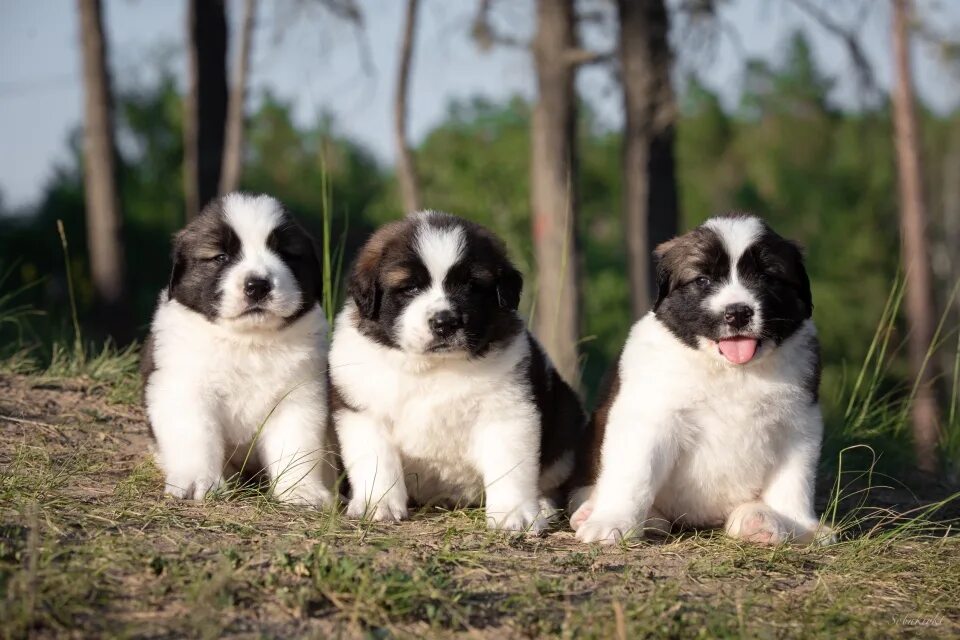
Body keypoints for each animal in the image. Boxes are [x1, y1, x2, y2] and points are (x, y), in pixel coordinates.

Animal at [141, 192, 336, 508]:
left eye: (285, 254)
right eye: (221, 257)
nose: (257, 285)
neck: (248, 342)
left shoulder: (299, 396)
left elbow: (297, 445)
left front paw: (301, 491)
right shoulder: (184, 387)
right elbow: (196, 436)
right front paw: (197, 482)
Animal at [330, 212, 584, 532]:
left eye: (472, 286)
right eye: (410, 288)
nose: (445, 322)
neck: (434, 367)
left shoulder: (509, 412)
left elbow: (510, 465)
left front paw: (514, 513)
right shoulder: (364, 411)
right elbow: (377, 461)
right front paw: (379, 504)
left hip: (565, 426)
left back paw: (544, 506)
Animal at [568, 215, 832, 544]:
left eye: (766, 277)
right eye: (703, 280)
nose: (737, 313)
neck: (729, 370)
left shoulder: (797, 423)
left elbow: (794, 482)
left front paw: (801, 527)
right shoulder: (649, 417)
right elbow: (634, 473)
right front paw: (611, 522)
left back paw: (758, 522)